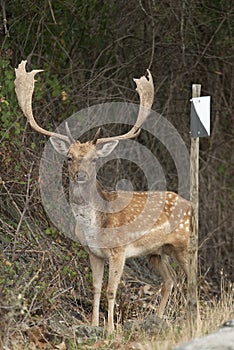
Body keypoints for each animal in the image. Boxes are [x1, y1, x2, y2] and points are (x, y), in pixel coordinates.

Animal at [14, 60, 190, 334]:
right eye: (69, 157)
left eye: (94, 158)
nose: (81, 175)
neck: (95, 226)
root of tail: (189, 204)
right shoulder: (93, 252)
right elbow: (96, 288)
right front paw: (94, 325)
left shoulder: (118, 250)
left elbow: (110, 290)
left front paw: (110, 330)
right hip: (156, 252)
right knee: (170, 280)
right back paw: (158, 320)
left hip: (184, 243)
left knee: (191, 280)